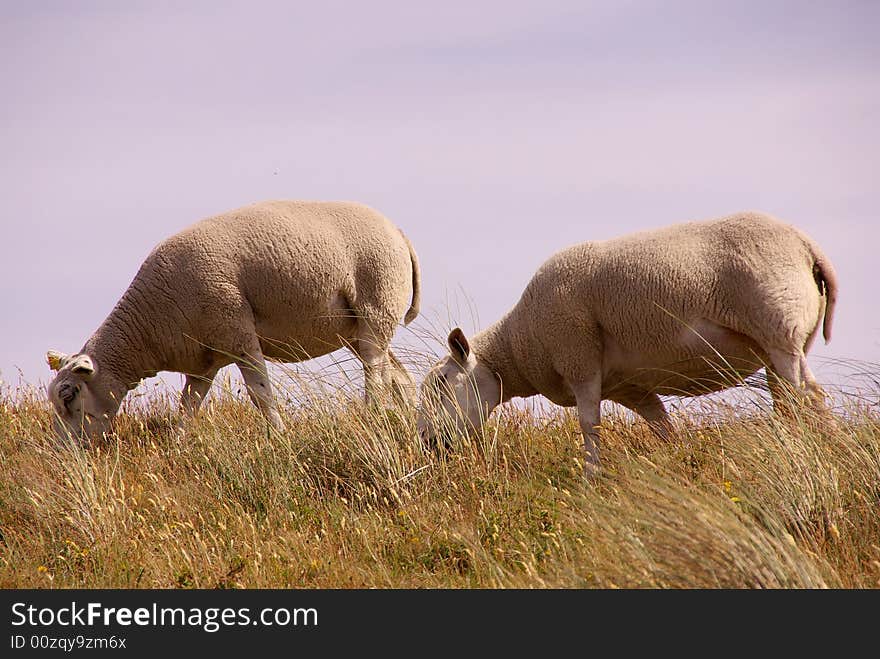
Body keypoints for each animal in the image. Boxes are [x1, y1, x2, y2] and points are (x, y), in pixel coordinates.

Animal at [46, 201, 422, 444]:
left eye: (68, 395)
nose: (64, 453)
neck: (148, 326)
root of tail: (399, 233)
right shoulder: (203, 363)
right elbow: (188, 407)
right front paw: (176, 447)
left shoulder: (238, 336)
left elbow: (261, 394)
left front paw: (278, 437)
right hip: (359, 329)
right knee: (399, 379)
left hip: (376, 308)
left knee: (376, 377)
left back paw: (371, 416)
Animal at [420, 214, 840, 476]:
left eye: (442, 382)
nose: (426, 442)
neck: (522, 341)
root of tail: (806, 245)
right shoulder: (630, 388)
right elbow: (662, 427)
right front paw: (679, 464)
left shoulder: (579, 359)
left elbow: (589, 425)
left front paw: (591, 476)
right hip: (782, 343)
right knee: (793, 401)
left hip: (779, 325)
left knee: (807, 397)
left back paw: (817, 451)